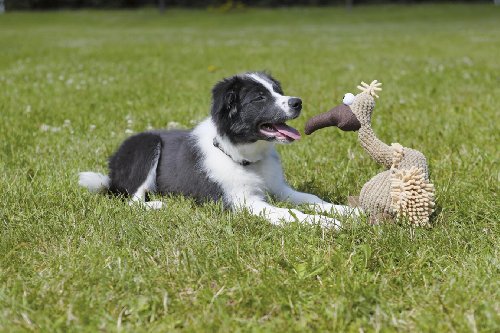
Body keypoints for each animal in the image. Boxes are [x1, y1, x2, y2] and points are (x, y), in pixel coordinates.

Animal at [78, 71, 358, 227]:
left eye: (278, 91)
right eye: (259, 98)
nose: (298, 102)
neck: (244, 156)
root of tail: (112, 170)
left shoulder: (279, 189)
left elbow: (312, 199)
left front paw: (349, 211)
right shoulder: (242, 201)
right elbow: (289, 213)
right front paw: (326, 223)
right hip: (145, 145)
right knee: (133, 200)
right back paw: (158, 205)